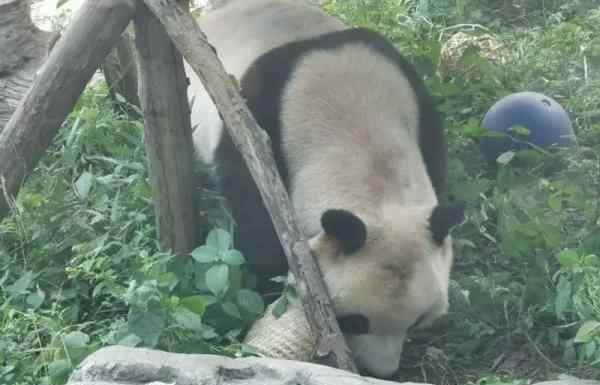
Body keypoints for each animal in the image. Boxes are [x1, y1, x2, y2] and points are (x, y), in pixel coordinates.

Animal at [186, 0, 464, 378]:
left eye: (417, 321)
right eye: (356, 322)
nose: (383, 371)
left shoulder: (417, 106)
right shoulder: (254, 121)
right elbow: (256, 218)